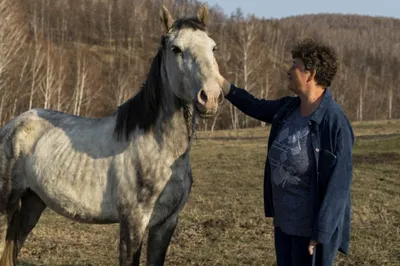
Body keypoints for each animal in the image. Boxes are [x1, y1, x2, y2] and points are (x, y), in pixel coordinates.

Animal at [0, 4, 222, 266]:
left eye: (213, 47)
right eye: (176, 49)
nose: (210, 96)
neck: (158, 148)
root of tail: (12, 126)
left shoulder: (166, 224)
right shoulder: (133, 223)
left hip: (33, 203)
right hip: (6, 204)